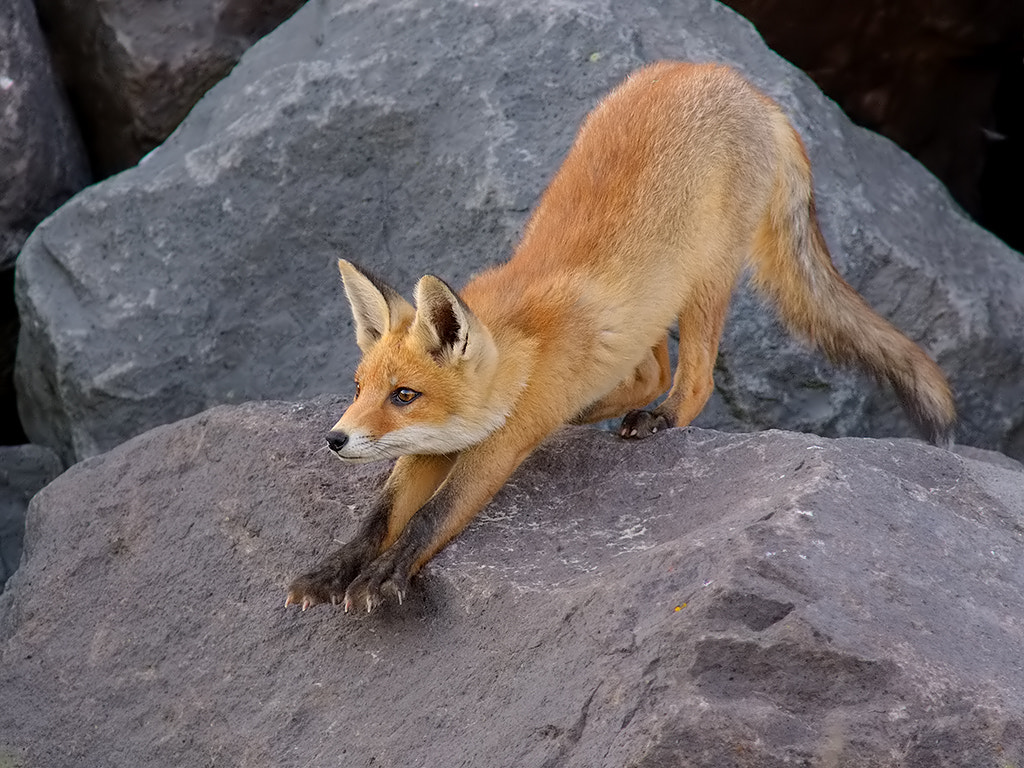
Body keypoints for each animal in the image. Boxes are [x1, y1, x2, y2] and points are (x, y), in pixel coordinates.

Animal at [284, 58, 954, 614]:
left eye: (405, 395)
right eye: (359, 388)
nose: (335, 439)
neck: (521, 356)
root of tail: (739, 81)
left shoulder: (502, 444)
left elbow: (431, 518)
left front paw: (383, 577)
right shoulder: (430, 448)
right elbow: (379, 517)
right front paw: (333, 570)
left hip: (704, 277)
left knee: (692, 380)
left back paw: (660, 417)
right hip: (653, 304)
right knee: (649, 369)